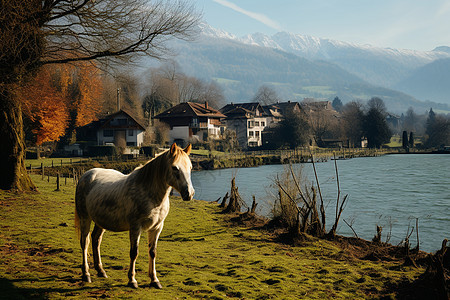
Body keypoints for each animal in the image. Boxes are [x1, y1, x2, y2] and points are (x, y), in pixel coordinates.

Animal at [74, 143, 194, 288]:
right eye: (175, 168)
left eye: (190, 167)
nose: (189, 193)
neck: (150, 194)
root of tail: (86, 175)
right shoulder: (136, 227)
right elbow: (134, 253)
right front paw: (132, 280)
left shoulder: (157, 227)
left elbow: (152, 252)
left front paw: (154, 280)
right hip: (85, 218)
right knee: (85, 242)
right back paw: (86, 274)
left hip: (100, 221)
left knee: (96, 240)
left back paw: (101, 271)